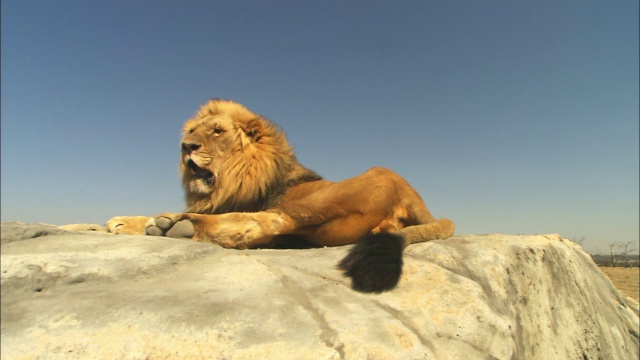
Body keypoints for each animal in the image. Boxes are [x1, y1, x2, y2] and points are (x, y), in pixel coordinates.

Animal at [106, 99, 456, 292]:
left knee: (268, 222)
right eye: (193, 131)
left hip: (323, 199)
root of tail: (412, 195)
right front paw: (123, 223)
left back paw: (177, 225)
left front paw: (134, 221)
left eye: (217, 131)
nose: (186, 147)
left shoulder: (229, 204)